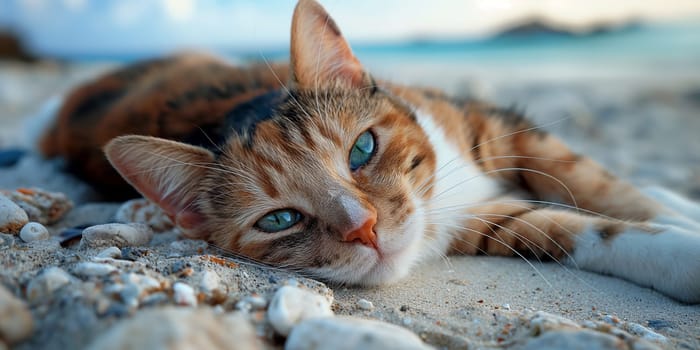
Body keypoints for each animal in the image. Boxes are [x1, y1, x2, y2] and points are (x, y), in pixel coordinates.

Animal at [39, 0, 700, 302]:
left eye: (361, 150)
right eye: (279, 219)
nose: (365, 228)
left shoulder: (499, 125)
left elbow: (592, 180)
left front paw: (670, 209)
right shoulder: (483, 223)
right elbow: (579, 229)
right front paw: (681, 250)